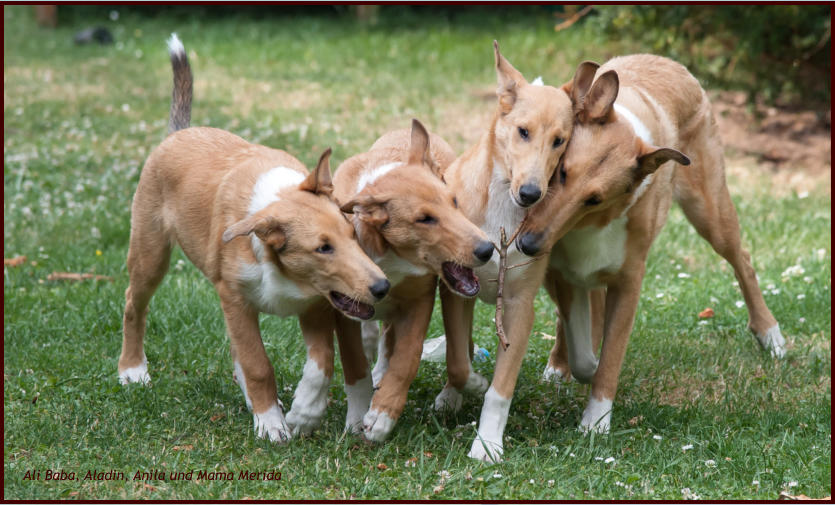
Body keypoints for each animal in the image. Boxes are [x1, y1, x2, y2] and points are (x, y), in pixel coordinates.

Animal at [118, 35, 392, 442]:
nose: (381, 287)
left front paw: (304, 413)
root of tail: (178, 132)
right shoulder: (235, 297)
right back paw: (132, 370)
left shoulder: (314, 305)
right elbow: (258, 363)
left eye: (352, 235)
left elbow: (322, 361)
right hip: (151, 250)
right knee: (134, 303)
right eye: (323, 248)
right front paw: (272, 425)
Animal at [324, 119, 496, 440]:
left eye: (454, 201)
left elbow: (408, 356)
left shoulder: (420, 298)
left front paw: (382, 416)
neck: (389, 253)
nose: (487, 249)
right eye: (424, 219)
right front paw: (362, 415)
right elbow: (355, 362)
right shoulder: (344, 308)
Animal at [438, 43, 580, 460]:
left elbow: (501, 390)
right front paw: (468, 385)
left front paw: (487, 444)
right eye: (522, 132)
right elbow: (457, 360)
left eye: (560, 140)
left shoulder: (519, 307)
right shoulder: (456, 290)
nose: (531, 193)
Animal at [520, 55, 788, 440]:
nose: (528, 244)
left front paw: (595, 422)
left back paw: (770, 334)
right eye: (562, 172)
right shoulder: (564, 268)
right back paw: (558, 365)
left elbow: (610, 356)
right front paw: (573, 368)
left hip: (710, 213)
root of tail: (670, 61)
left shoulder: (629, 282)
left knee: (743, 260)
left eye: (594, 199)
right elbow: (581, 339)